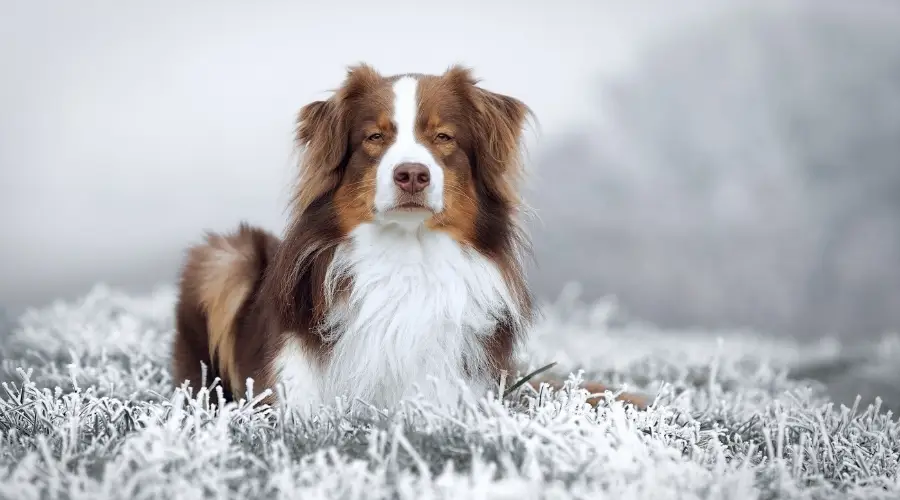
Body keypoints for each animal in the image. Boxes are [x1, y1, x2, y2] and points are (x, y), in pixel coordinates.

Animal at [171, 62, 648, 414]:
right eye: (374, 137)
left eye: (443, 137)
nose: (412, 174)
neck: (406, 256)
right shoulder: (291, 393)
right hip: (225, 257)